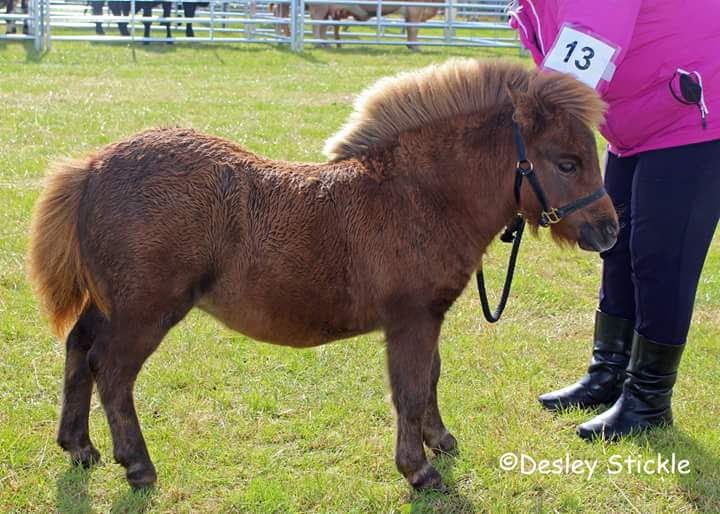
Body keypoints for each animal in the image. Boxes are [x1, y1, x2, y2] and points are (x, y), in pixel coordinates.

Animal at [29, 58, 620, 490]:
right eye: (567, 162)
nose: (609, 230)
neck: (419, 196)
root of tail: (94, 166)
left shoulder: (430, 318)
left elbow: (431, 376)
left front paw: (441, 440)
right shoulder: (410, 319)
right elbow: (409, 389)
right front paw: (419, 470)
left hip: (109, 302)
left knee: (79, 350)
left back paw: (79, 447)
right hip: (145, 310)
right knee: (112, 371)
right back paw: (137, 465)